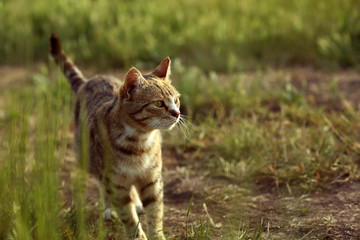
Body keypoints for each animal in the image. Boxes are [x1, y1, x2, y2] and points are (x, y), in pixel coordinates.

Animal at [50, 32, 180, 240]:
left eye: (176, 100)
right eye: (159, 103)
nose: (177, 113)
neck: (139, 141)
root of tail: (89, 80)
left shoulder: (152, 179)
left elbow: (155, 213)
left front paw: (157, 234)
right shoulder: (116, 182)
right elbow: (129, 217)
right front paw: (137, 234)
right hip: (89, 159)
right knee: (101, 183)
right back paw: (109, 209)